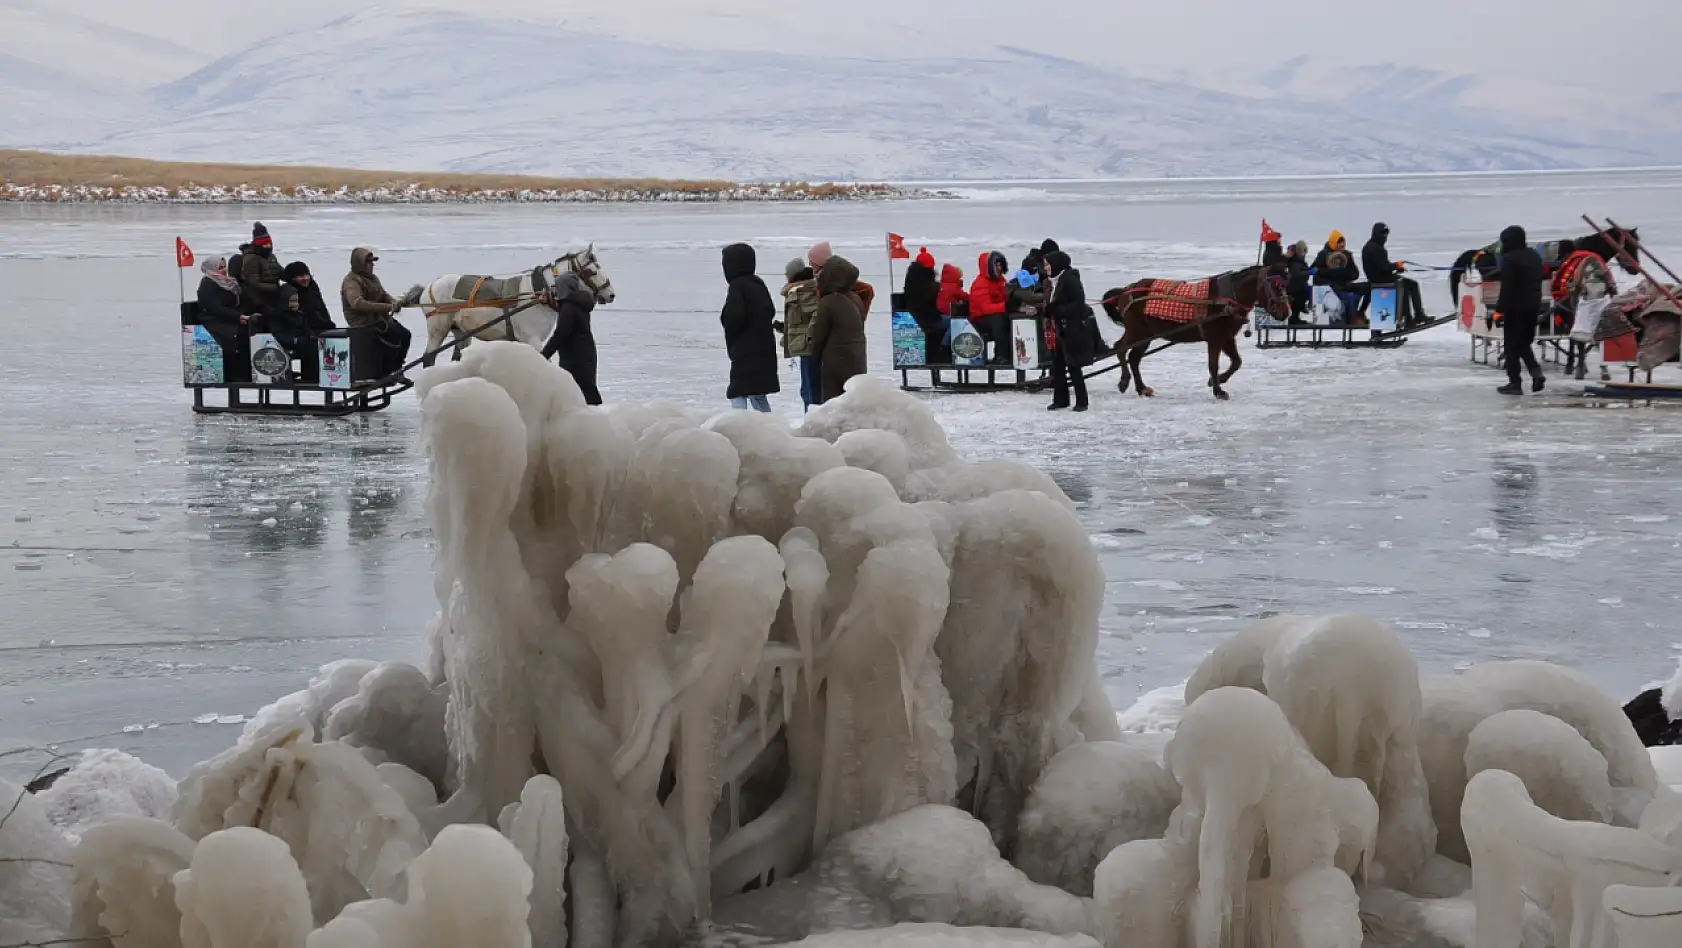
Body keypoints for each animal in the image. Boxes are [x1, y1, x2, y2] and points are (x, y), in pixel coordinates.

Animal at [407, 243, 618, 366]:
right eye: (592, 271)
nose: (611, 294)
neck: (538, 293)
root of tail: (430, 286)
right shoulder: (531, 338)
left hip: (460, 331)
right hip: (438, 329)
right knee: (428, 357)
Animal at [1103, 265, 1285, 401]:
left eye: (1284, 284)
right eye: (1275, 286)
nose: (1285, 312)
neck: (1226, 299)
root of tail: (1126, 290)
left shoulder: (1227, 338)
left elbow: (1237, 362)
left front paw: (1216, 381)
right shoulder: (1215, 338)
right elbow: (1213, 364)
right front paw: (1218, 390)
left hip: (1146, 334)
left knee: (1134, 357)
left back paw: (1142, 388)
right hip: (1137, 331)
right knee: (1120, 348)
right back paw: (1124, 381)